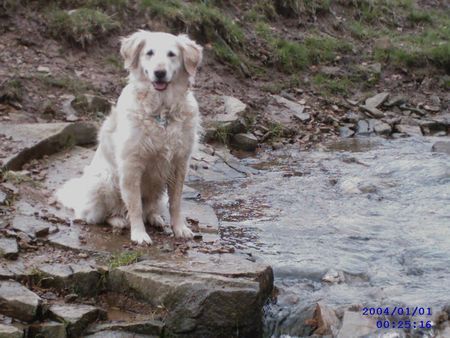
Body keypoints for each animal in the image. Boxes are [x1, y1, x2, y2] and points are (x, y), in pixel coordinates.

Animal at [55, 31, 202, 243]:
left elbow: (176, 203)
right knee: (98, 215)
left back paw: (155, 217)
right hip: (104, 180)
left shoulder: (179, 163)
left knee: (151, 207)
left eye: (172, 54)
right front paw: (139, 234)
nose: (159, 72)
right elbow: (134, 206)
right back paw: (118, 220)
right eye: (149, 53)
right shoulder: (131, 165)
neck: (162, 111)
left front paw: (180, 228)